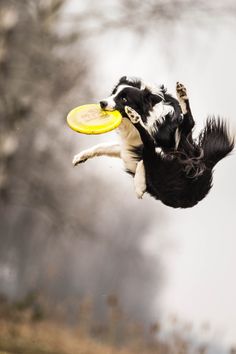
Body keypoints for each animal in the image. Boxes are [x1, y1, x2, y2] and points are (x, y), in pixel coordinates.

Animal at [72, 74, 234, 207]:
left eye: (124, 99)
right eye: (113, 93)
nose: (102, 103)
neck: (147, 116)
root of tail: (208, 167)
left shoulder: (171, 148)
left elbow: (143, 157)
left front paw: (139, 184)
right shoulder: (129, 144)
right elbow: (103, 146)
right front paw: (80, 156)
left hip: (181, 157)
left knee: (187, 123)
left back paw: (179, 96)